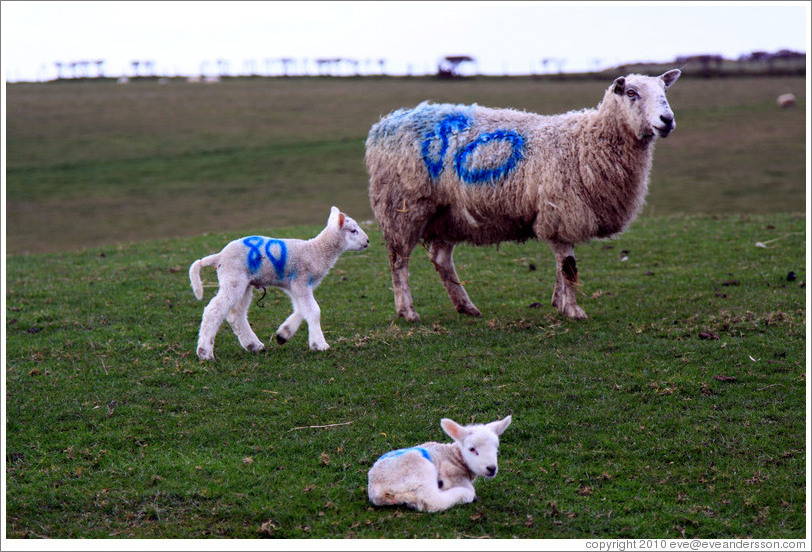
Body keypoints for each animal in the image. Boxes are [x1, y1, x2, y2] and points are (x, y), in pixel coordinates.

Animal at [189, 206, 370, 358]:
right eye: (353, 230)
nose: (367, 241)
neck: (316, 251)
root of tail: (219, 257)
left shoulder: (294, 286)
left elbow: (301, 310)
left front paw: (284, 334)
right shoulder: (301, 281)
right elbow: (314, 311)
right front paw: (320, 344)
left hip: (244, 284)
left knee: (236, 315)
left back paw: (254, 345)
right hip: (233, 279)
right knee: (213, 311)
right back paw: (205, 352)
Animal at [366, 69, 680, 322]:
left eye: (664, 91)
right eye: (631, 93)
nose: (667, 120)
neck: (588, 139)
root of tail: (384, 125)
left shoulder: (557, 215)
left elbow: (562, 266)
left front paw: (559, 303)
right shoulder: (560, 209)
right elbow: (568, 267)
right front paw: (573, 310)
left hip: (449, 214)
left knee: (441, 260)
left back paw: (466, 307)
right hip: (403, 205)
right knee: (398, 260)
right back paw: (407, 311)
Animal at [370, 416, 510, 512]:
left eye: (496, 448)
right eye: (472, 449)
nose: (491, 468)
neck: (455, 456)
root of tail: (376, 490)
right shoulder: (452, 473)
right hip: (420, 468)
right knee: (432, 500)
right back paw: (465, 495)